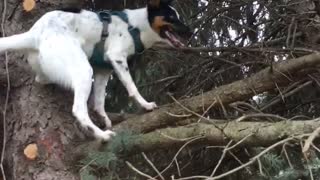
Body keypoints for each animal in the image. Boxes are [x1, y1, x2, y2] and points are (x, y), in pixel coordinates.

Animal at [0, 0, 191, 141]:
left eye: (178, 16)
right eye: (171, 17)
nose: (189, 31)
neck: (135, 26)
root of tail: (34, 33)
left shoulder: (103, 70)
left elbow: (99, 101)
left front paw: (104, 118)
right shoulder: (117, 57)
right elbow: (132, 87)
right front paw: (145, 105)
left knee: (42, 79)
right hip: (84, 71)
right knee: (79, 110)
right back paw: (101, 135)